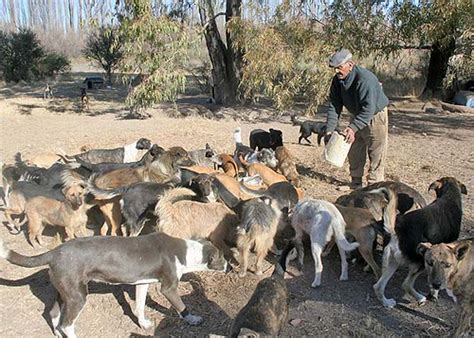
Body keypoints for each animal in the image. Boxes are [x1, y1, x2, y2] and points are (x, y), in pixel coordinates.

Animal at [0, 232, 228, 338]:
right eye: (222, 258)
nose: (230, 266)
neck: (187, 251)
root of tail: (54, 252)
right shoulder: (168, 287)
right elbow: (182, 307)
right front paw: (193, 319)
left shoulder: (143, 283)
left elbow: (139, 307)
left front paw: (143, 324)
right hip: (78, 297)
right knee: (67, 324)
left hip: (64, 291)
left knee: (53, 314)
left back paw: (56, 333)